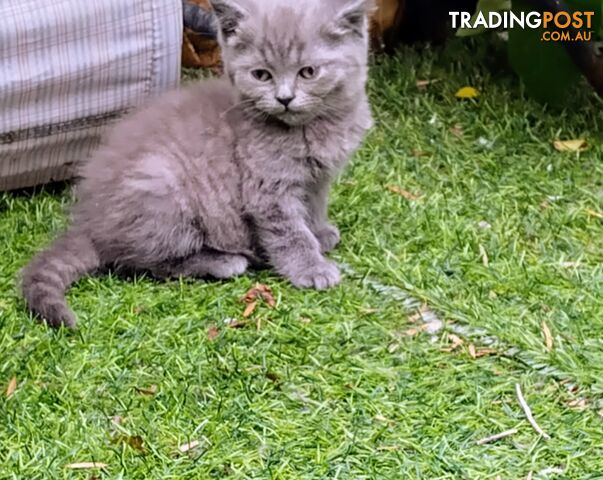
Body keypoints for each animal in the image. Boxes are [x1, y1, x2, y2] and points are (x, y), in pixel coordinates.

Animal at [21, 0, 372, 328]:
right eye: (261, 75)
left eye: (308, 72)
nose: (284, 98)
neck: (310, 128)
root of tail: (88, 224)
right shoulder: (267, 190)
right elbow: (288, 231)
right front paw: (310, 267)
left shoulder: (318, 178)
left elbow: (313, 206)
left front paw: (320, 232)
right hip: (162, 186)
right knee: (138, 262)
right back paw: (224, 262)